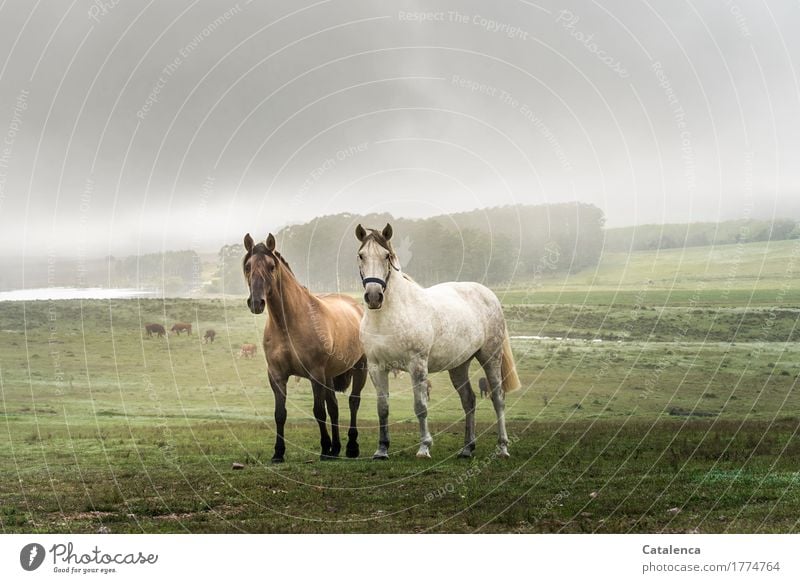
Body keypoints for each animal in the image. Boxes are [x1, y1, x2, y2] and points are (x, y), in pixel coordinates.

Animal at [244, 230, 368, 464]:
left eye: (271, 266)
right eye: (248, 266)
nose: (256, 303)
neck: (288, 324)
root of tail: (356, 305)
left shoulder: (315, 374)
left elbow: (318, 411)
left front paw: (324, 448)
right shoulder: (277, 376)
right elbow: (280, 414)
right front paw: (278, 453)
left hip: (360, 368)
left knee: (353, 402)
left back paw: (351, 447)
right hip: (330, 375)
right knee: (334, 407)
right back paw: (336, 449)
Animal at [354, 224, 520, 460]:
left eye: (386, 255)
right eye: (361, 255)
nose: (374, 296)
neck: (388, 316)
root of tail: (488, 294)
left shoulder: (417, 365)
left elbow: (420, 406)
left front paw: (424, 447)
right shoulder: (377, 367)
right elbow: (383, 407)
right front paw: (382, 450)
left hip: (490, 357)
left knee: (498, 398)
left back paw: (502, 448)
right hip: (459, 365)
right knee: (469, 400)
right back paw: (467, 449)